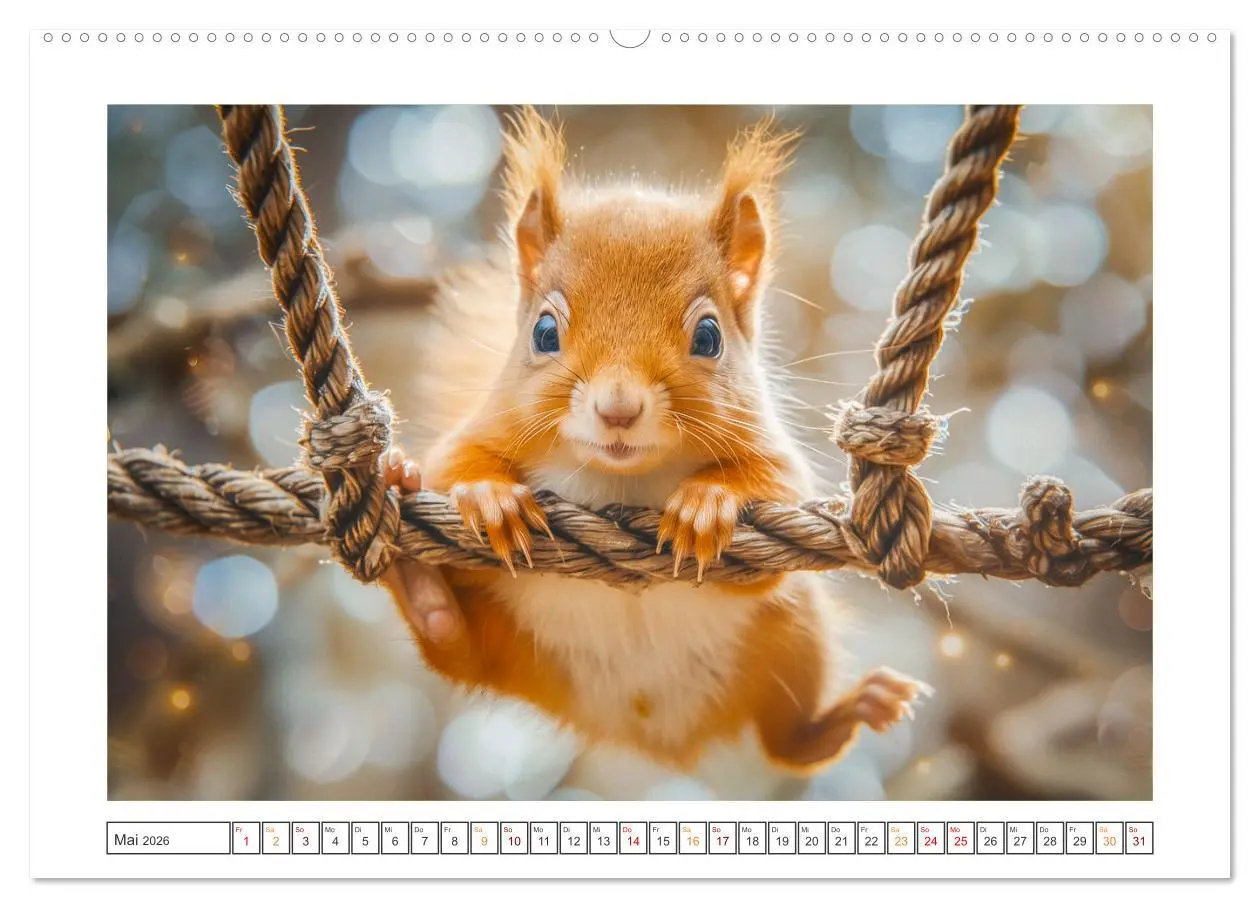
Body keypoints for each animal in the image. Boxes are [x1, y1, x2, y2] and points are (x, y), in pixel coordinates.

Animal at [381, 107, 931, 774]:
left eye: (709, 337)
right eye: (543, 332)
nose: (618, 408)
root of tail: (650, 730)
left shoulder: (769, 454)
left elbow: (773, 487)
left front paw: (707, 504)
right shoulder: (490, 422)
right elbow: (453, 462)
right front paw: (489, 496)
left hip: (795, 635)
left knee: (788, 740)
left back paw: (847, 714)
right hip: (505, 642)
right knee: (454, 647)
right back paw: (413, 563)